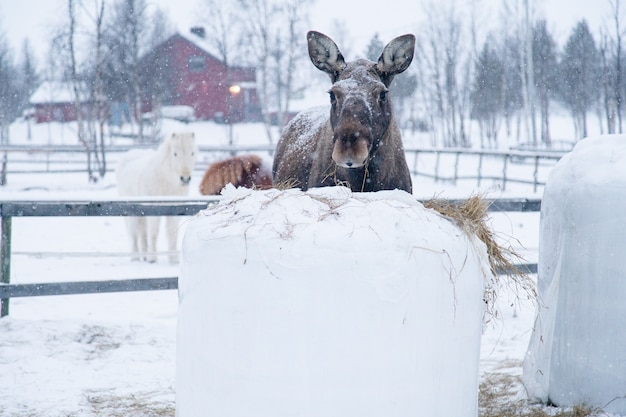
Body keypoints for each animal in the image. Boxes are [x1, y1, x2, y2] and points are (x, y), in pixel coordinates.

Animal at [116, 132, 196, 264]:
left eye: (192, 153)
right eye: (175, 153)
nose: (185, 179)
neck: (166, 181)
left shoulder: (175, 211)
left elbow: (172, 233)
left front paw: (173, 258)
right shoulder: (154, 210)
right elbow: (153, 233)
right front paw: (152, 258)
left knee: (142, 232)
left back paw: (144, 255)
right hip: (132, 212)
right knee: (134, 234)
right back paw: (136, 257)